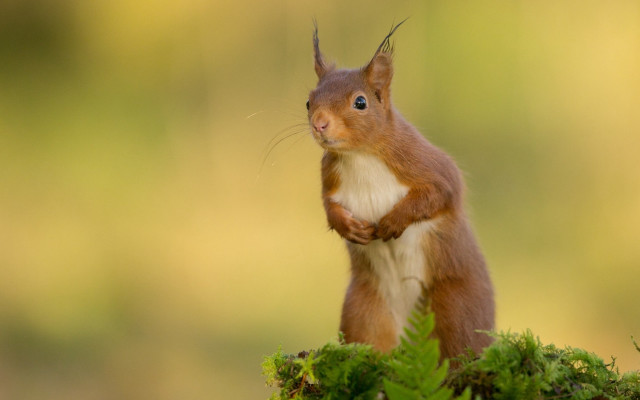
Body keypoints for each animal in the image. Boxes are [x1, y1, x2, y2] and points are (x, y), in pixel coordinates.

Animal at [306, 21, 495, 359]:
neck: (361, 156)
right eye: (308, 101)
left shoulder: (425, 164)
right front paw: (349, 228)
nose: (319, 124)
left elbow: (440, 193)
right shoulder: (330, 179)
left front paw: (394, 221)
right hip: (363, 311)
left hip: (456, 306)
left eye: (360, 102)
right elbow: (328, 207)